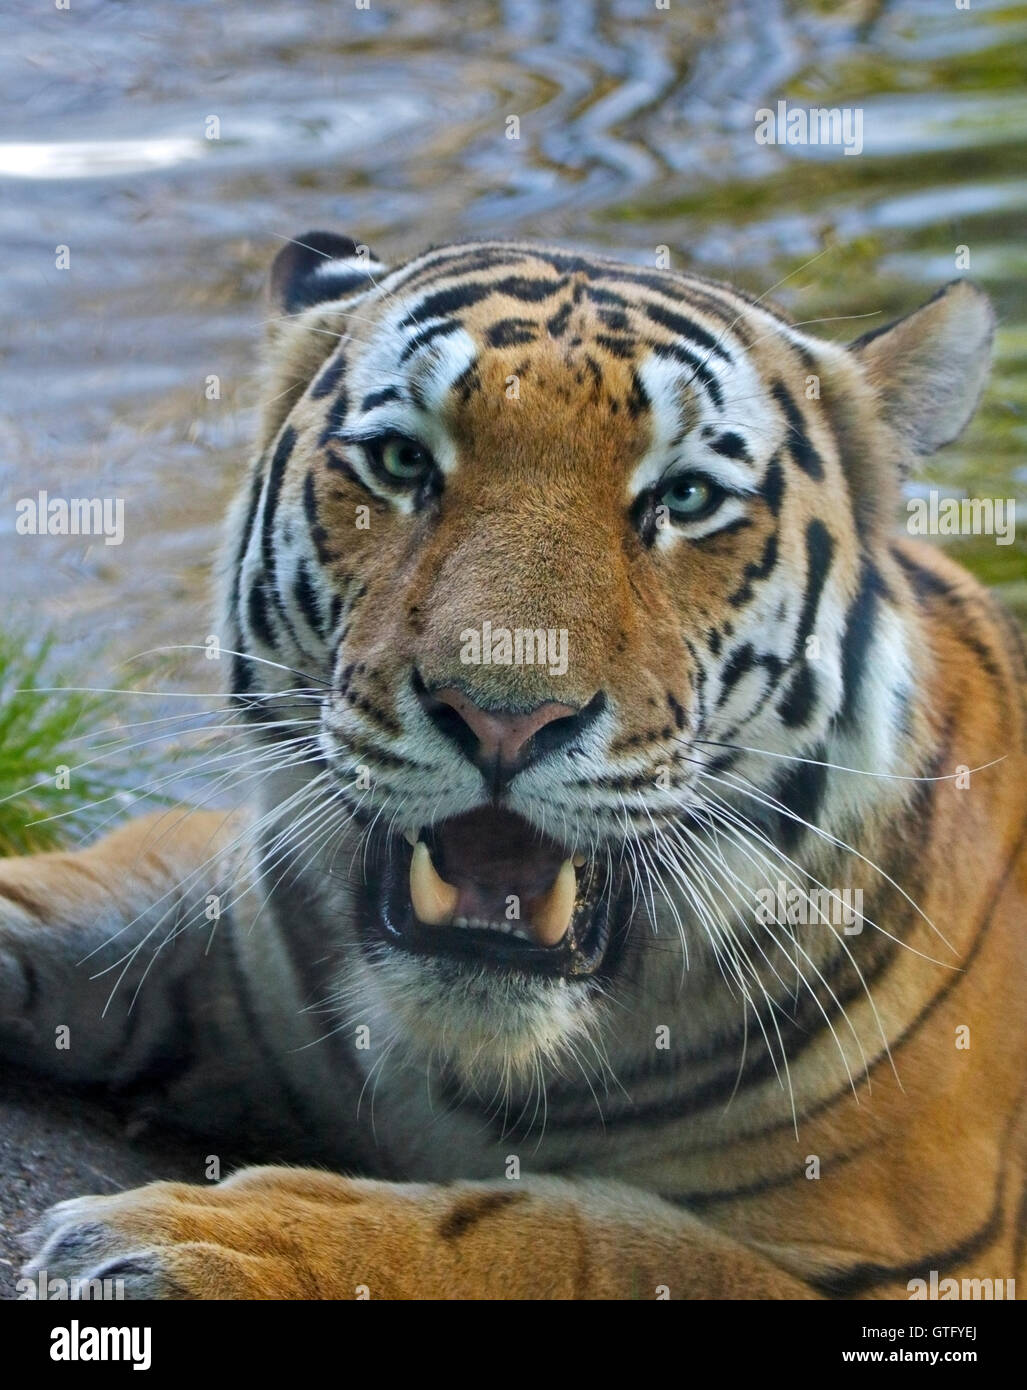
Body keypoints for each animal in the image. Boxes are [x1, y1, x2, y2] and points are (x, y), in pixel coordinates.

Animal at [0, 233, 1022, 1295]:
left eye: (686, 496)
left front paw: (189, 1241)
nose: (502, 719)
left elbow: (553, 1237)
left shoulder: (918, 1263)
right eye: (402, 460)